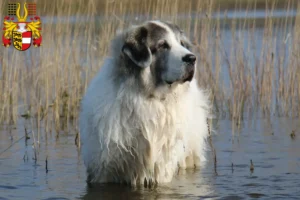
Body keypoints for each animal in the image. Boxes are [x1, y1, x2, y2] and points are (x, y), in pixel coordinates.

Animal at [79, 20, 211, 186]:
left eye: (181, 43)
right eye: (162, 45)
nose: (192, 58)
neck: (149, 97)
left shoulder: (160, 167)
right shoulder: (103, 169)